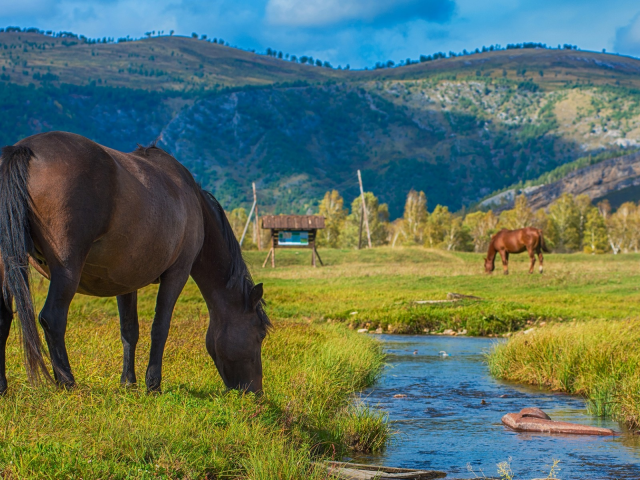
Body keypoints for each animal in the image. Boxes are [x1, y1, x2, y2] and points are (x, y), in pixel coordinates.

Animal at [0, 129, 270, 396]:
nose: (255, 392)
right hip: (66, 269)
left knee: (4, 318)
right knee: (53, 318)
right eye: (260, 334)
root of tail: (23, 148)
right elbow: (160, 328)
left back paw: (3, 387)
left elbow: (130, 330)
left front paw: (128, 382)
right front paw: (153, 385)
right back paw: (68, 383)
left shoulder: (124, 281)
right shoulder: (177, 274)